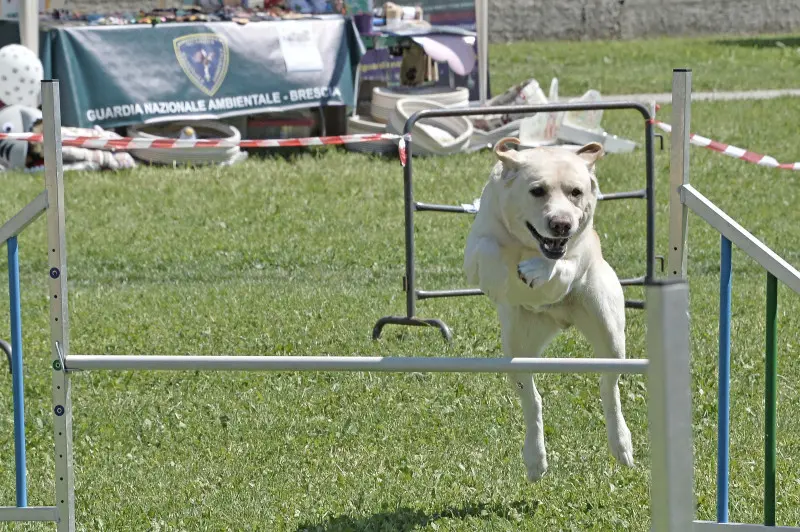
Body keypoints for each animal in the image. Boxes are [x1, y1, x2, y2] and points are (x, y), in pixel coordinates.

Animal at [462, 137, 632, 482]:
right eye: (537, 190)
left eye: (576, 192)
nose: (561, 224)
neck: (530, 245)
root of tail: (561, 320)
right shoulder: (475, 250)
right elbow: (488, 251)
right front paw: (502, 277)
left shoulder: (578, 251)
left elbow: (565, 266)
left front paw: (538, 271)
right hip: (516, 349)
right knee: (532, 400)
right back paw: (535, 459)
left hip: (608, 329)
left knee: (609, 387)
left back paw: (621, 443)